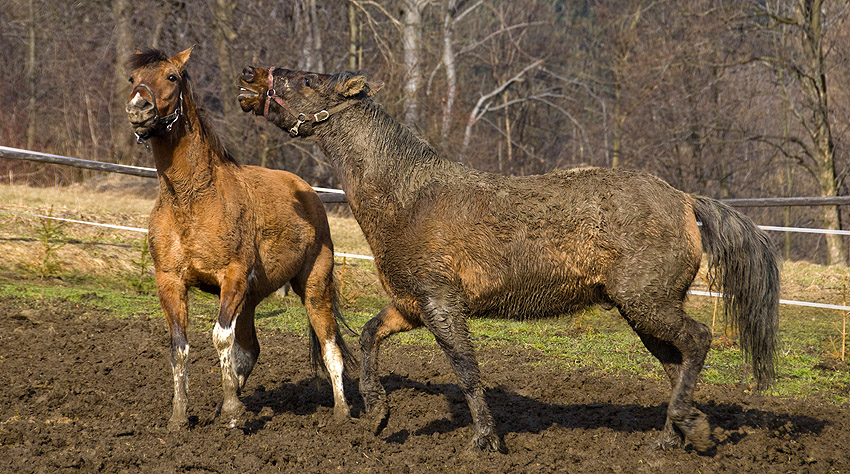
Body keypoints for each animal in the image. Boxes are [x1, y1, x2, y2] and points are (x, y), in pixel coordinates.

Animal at [122, 50, 354, 432]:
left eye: (172, 77)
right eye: (133, 78)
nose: (139, 108)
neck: (191, 198)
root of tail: (309, 192)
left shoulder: (231, 278)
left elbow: (221, 338)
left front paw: (232, 411)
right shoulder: (169, 282)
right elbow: (180, 348)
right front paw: (180, 417)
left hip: (314, 287)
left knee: (330, 349)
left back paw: (342, 412)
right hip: (250, 299)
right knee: (251, 350)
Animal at [235, 65, 780, 452]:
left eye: (308, 80)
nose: (250, 77)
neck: (408, 199)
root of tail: (685, 200)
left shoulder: (442, 305)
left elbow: (466, 370)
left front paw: (485, 440)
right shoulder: (411, 306)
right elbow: (368, 337)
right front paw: (379, 413)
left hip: (648, 302)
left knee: (698, 340)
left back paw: (691, 429)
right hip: (644, 309)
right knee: (676, 360)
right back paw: (673, 438)